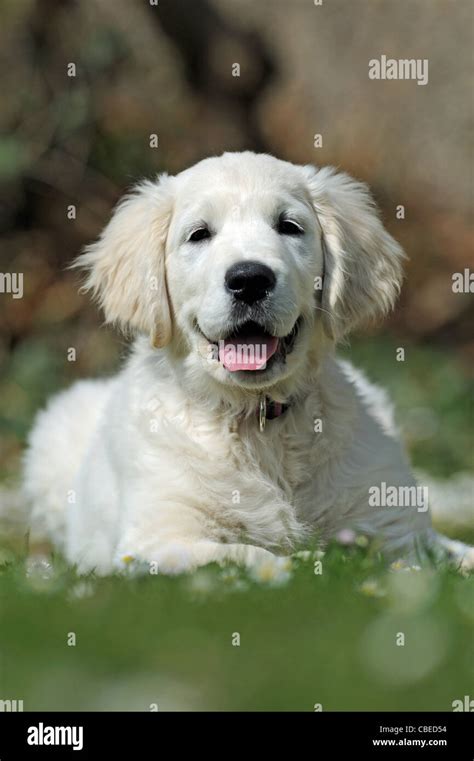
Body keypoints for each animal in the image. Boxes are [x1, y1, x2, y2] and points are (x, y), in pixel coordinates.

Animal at [23, 151, 474, 572]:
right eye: (199, 234)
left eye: (289, 226)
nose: (249, 279)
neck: (258, 420)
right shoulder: (157, 539)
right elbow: (250, 556)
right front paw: (301, 564)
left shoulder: (396, 528)